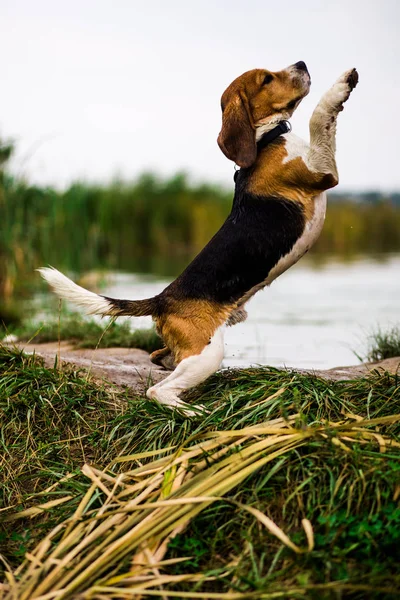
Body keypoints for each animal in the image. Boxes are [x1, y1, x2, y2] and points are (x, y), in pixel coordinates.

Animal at [39, 62, 360, 418]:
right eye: (267, 79)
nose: (301, 64)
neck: (264, 139)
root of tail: (162, 298)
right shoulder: (322, 173)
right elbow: (319, 117)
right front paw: (341, 87)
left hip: (191, 350)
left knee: (160, 359)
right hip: (207, 352)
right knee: (156, 390)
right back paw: (192, 411)